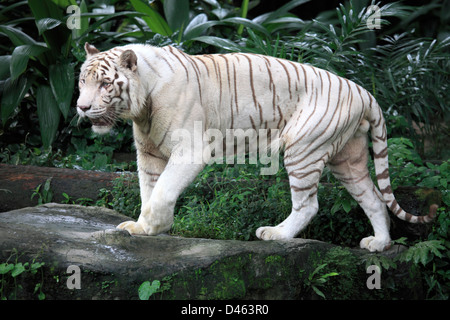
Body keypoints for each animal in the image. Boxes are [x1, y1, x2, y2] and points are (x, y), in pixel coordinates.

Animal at [76, 43, 436, 252]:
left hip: (303, 149)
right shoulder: (149, 152)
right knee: (374, 198)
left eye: (105, 84)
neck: (143, 104)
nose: (81, 107)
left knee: (309, 205)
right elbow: (149, 190)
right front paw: (144, 227)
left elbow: (163, 190)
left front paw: (155, 226)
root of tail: (365, 92)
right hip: (349, 159)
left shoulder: (190, 149)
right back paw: (380, 243)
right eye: (82, 81)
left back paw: (276, 234)